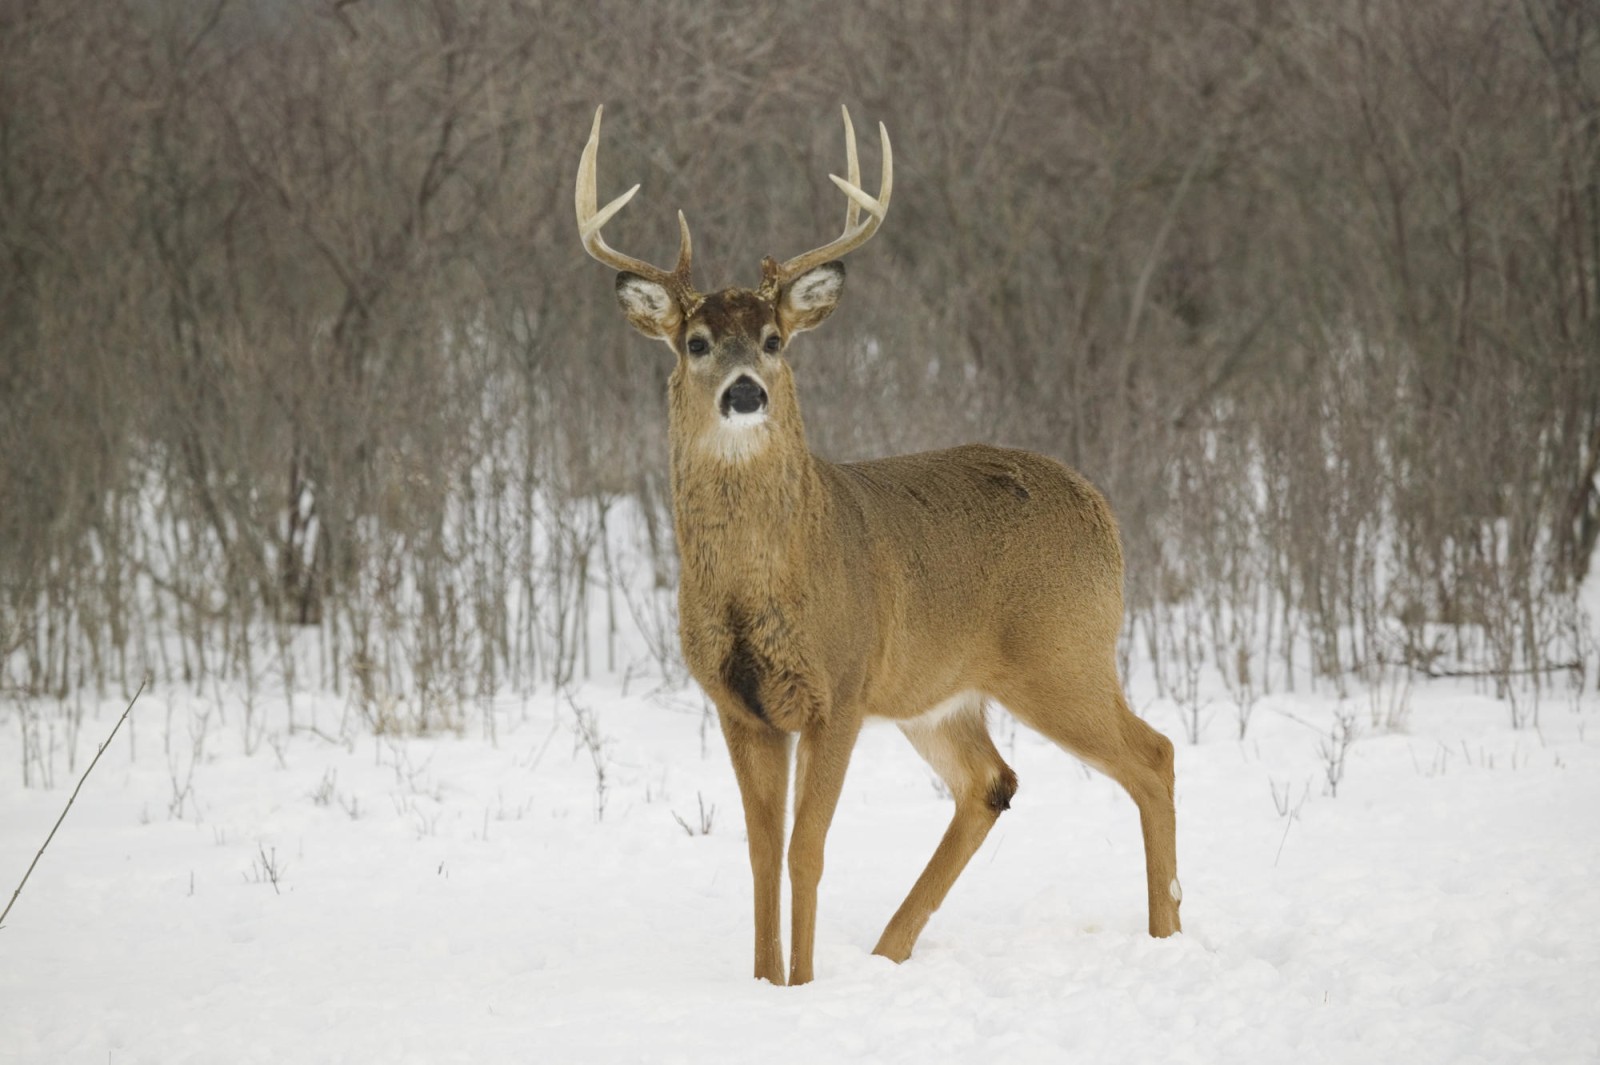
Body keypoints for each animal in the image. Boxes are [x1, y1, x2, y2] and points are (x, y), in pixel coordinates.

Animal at [575, 105, 1182, 986]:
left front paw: (800, 984)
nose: (745, 391)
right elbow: (760, 855)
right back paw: (890, 952)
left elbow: (807, 852)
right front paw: (765, 982)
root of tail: (1101, 507)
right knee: (991, 781)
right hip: (941, 691)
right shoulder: (739, 704)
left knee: (1153, 754)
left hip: (1062, 653)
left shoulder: (842, 686)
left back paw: (1168, 934)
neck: (761, 584)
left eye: (773, 338)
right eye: (696, 341)